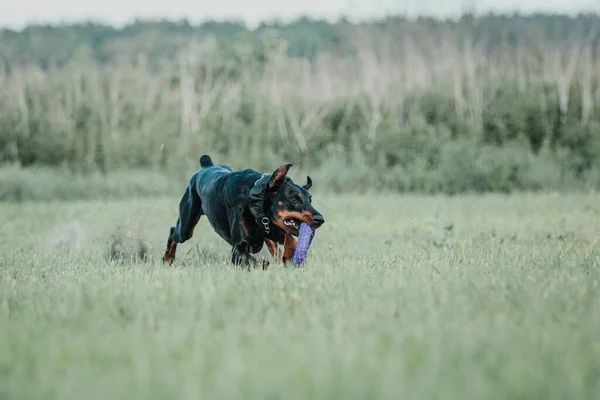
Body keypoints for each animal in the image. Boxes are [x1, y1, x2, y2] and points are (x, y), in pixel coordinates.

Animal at [162, 155, 326, 268]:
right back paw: (167, 258)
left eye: (310, 199)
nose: (320, 219)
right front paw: (264, 262)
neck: (255, 199)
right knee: (174, 232)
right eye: (294, 198)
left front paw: (287, 256)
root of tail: (206, 165)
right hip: (187, 224)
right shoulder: (238, 249)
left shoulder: (272, 227)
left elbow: (290, 239)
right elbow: (250, 259)